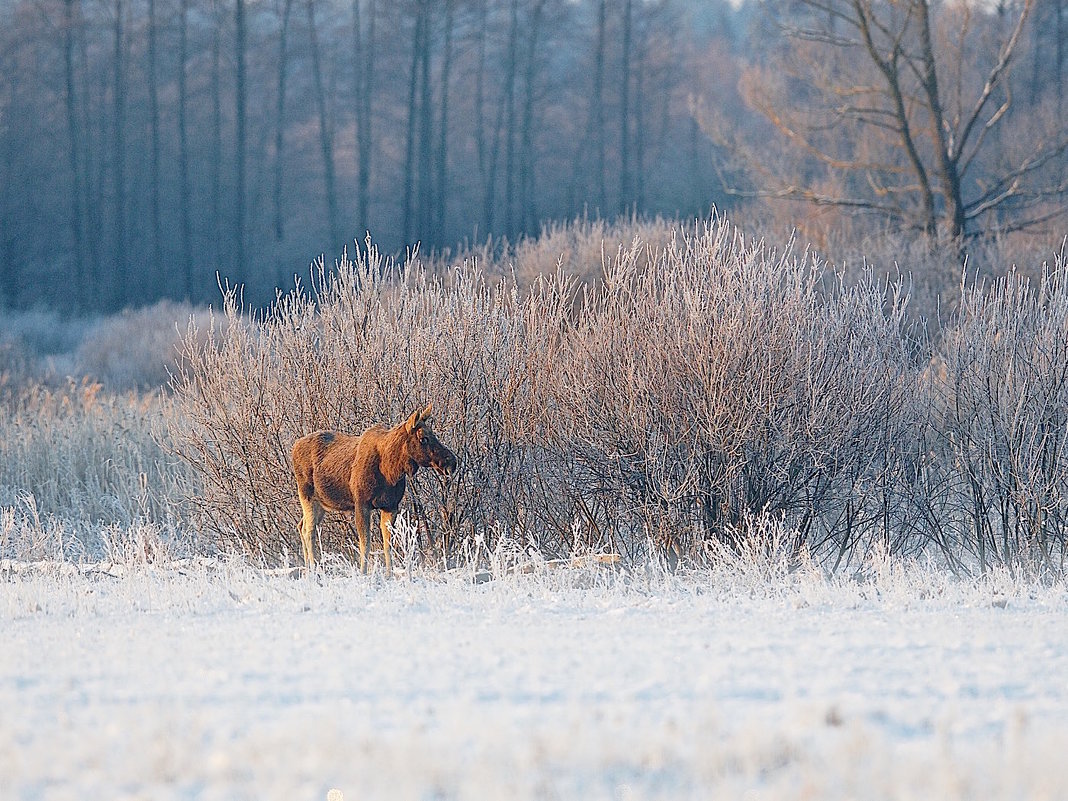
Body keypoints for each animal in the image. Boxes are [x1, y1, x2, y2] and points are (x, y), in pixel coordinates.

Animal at [290, 403, 457, 572]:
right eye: (423, 438)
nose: (451, 461)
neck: (391, 470)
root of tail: (294, 447)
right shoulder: (361, 504)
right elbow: (365, 545)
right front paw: (364, 573)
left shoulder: (390, 506)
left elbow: (388, 545)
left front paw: (389, 574)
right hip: (307, 496)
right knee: (308, 531)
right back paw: (313, 569)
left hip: (322, 503)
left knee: (301, 525)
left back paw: (308, 568)